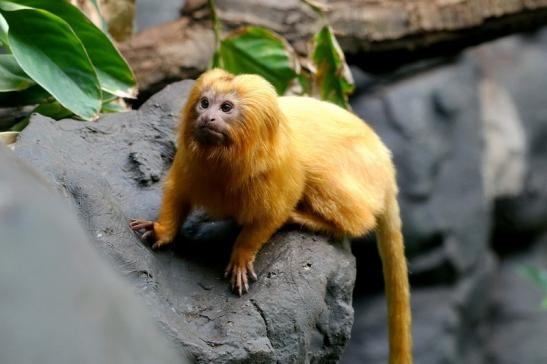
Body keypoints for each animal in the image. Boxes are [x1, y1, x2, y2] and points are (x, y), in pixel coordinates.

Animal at [131, 69, 414, 364]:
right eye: (205, 103)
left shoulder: (276, 173)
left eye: (226, 107)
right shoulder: (190, 162)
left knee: (354, 212)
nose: (208, 118)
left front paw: (242, 256)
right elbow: (177, 193)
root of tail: (386, 165)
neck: (226, 158)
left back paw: (306, 218)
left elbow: (271, 215)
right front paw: (162, 230)